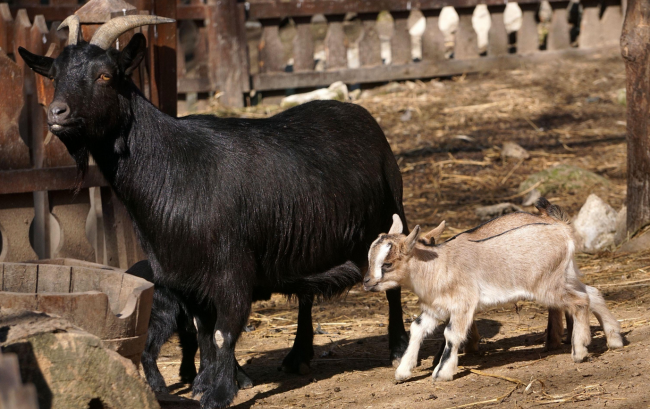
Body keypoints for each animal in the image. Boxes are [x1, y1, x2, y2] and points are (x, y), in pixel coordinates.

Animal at [21, 14, 410, 406]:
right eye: (54, 76)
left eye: (104, 75)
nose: (57, 113)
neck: (173, 168)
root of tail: (364, 117)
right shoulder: (185, 278)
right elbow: (204, 333)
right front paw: (208, 382)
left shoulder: (230, 267)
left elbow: (224, 332)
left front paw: (220, 392)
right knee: (305, 295)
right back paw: (298, 355)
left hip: (390, 218)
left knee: (391, 283)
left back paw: (397, 347)